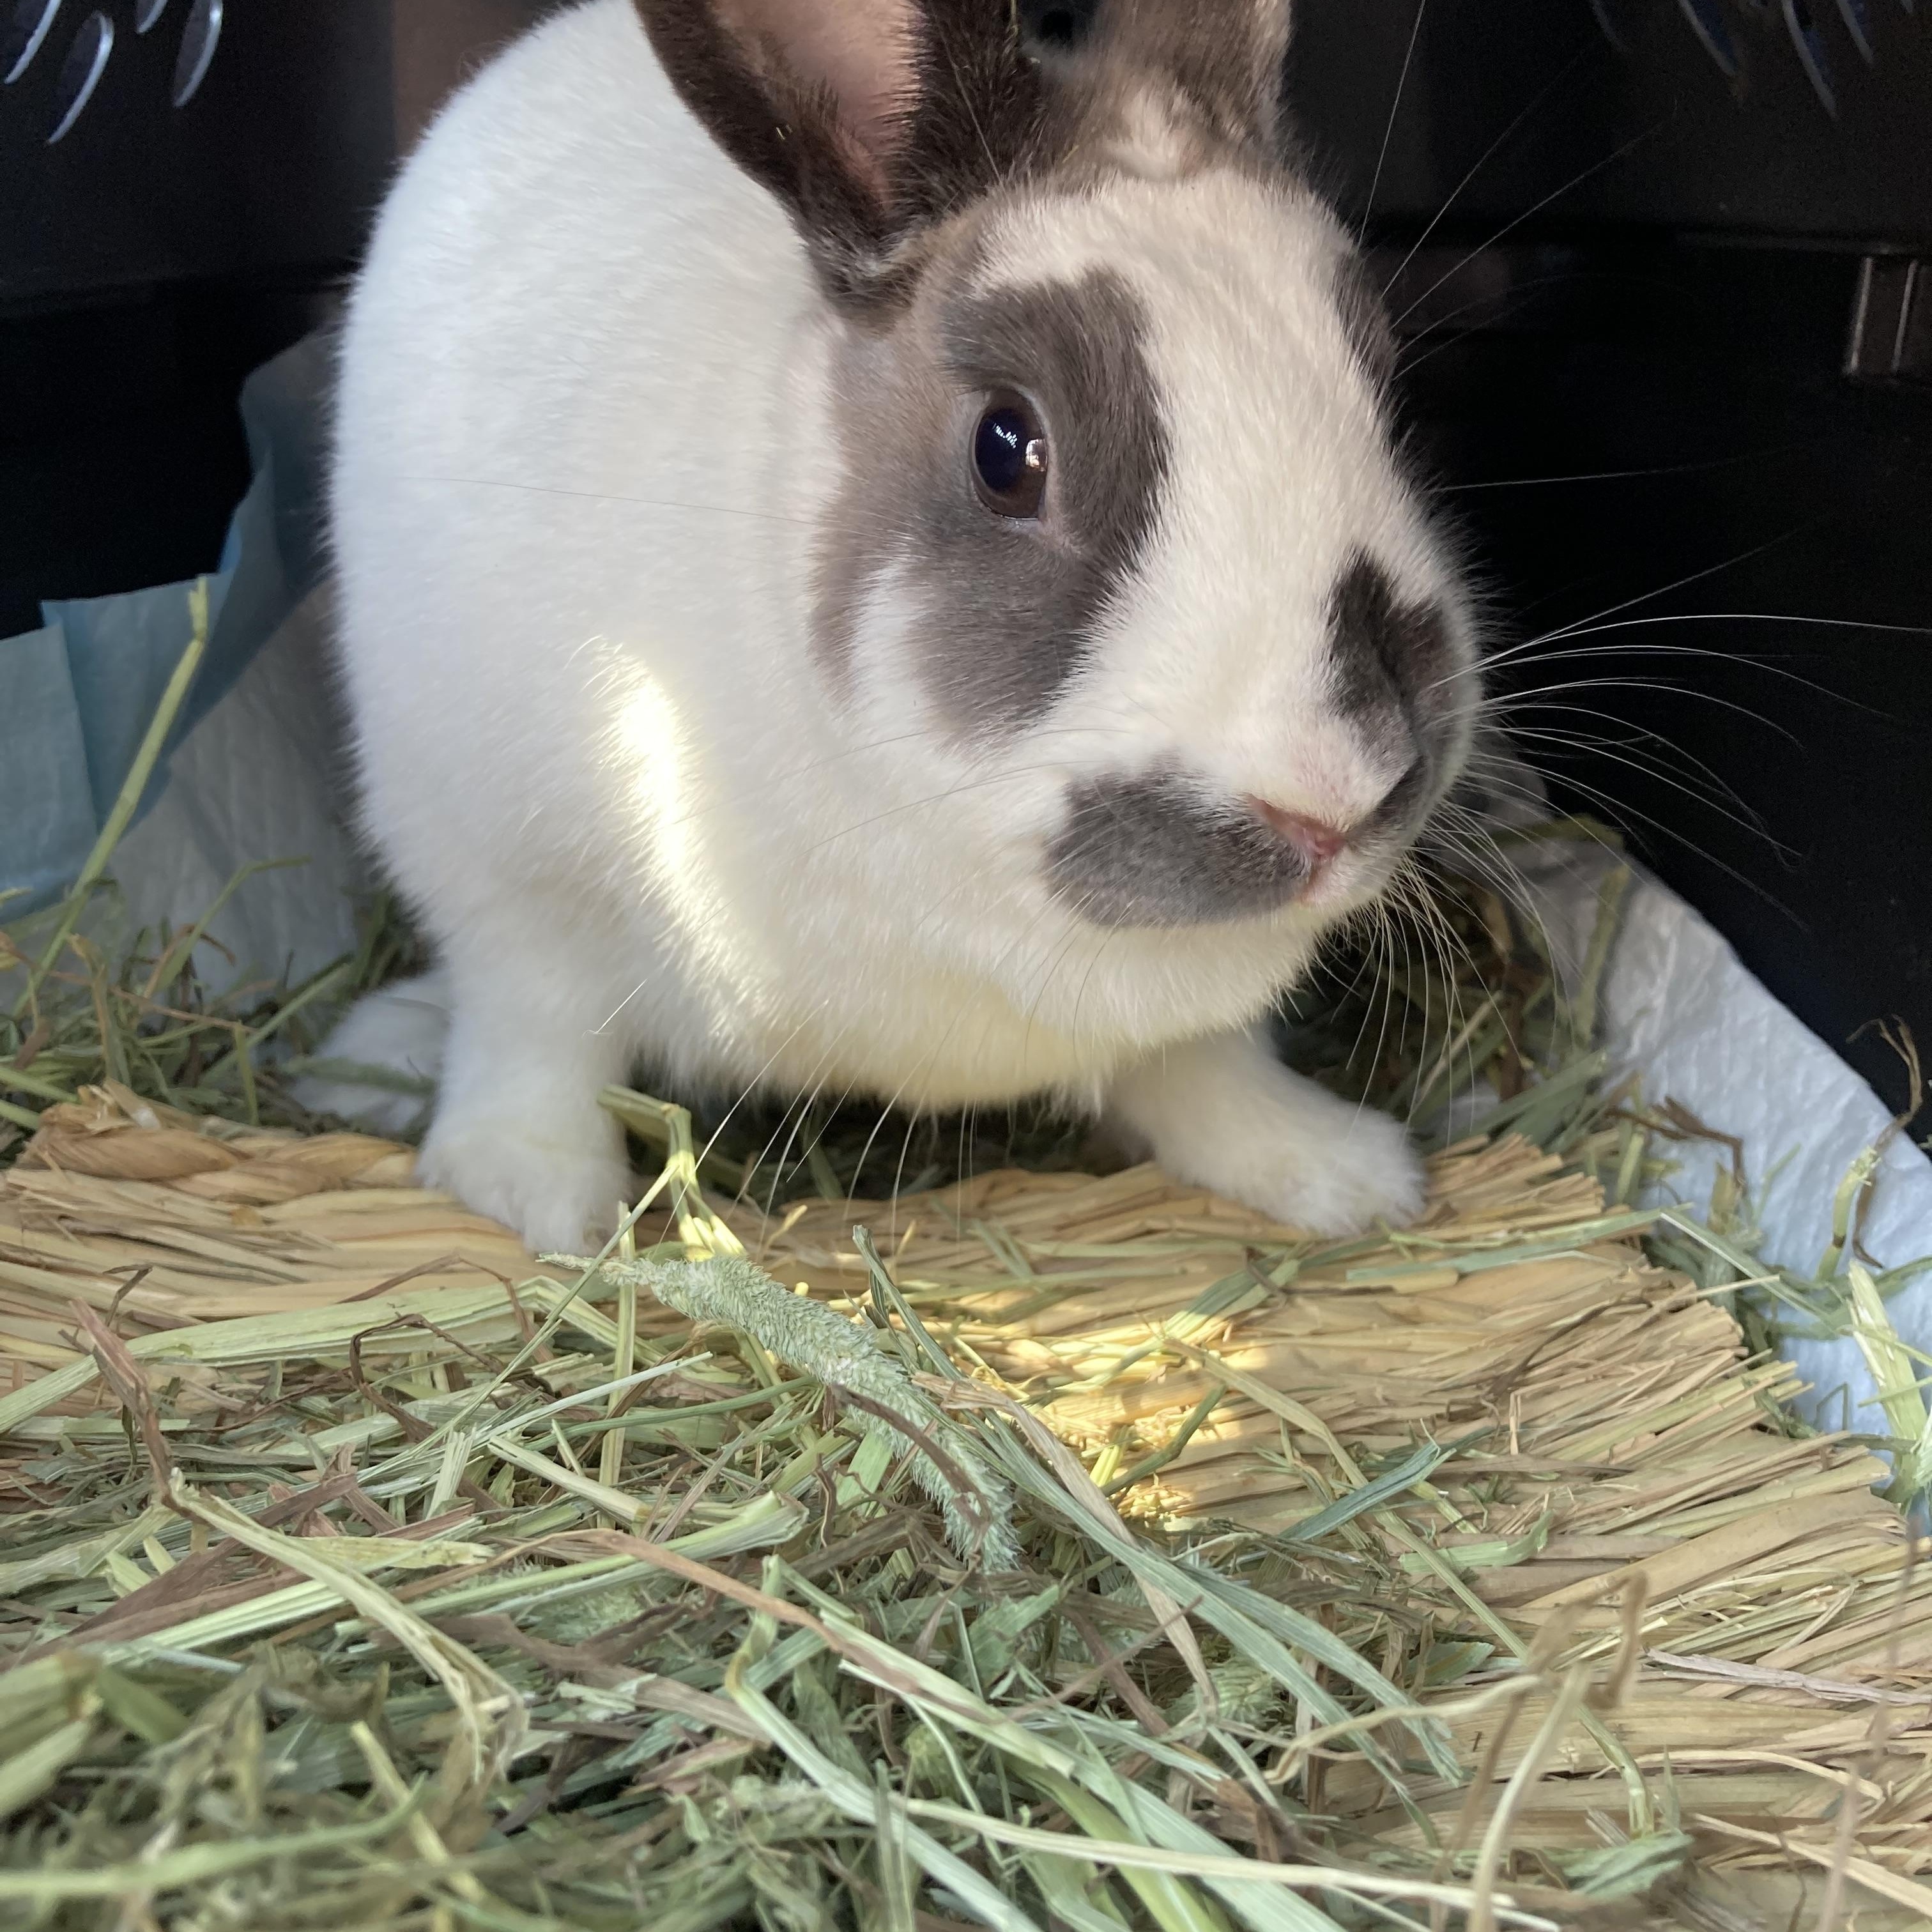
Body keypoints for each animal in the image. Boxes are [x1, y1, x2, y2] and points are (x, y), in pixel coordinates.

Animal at [296, 0, 1483, 1255]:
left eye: (1383, 386)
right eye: (1006, 450)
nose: (1336, 792)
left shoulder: (1186, 1020)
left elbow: (1202, 1067)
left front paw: (1341, 1173)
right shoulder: (515, 892)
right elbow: (534, 1042)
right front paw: (543, 1203)